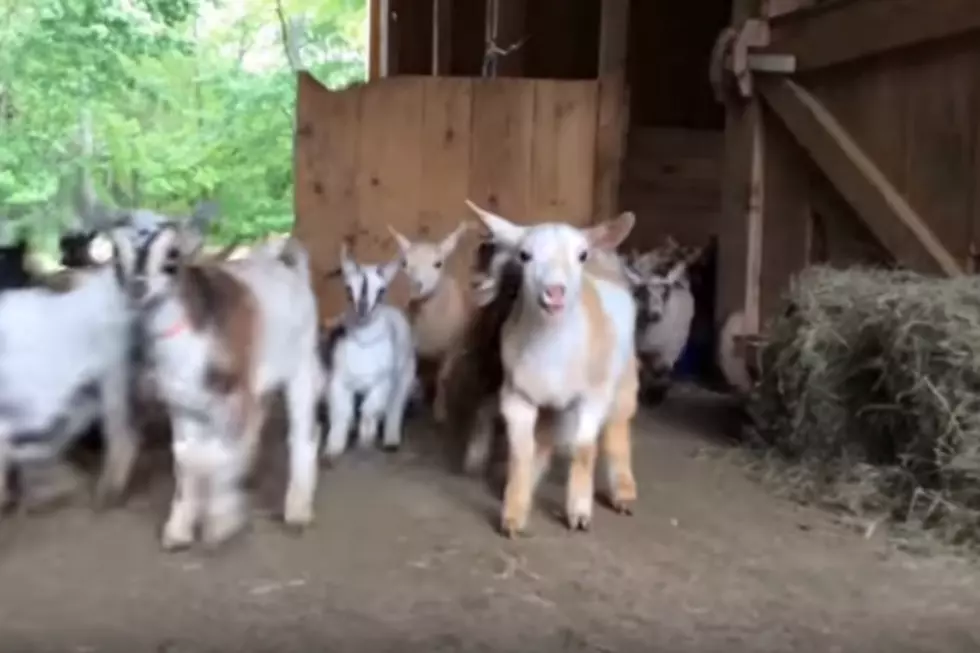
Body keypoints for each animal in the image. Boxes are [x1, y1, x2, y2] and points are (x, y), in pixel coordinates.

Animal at [111, 222, 324, 548]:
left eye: (172, 255)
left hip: (300, 366)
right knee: (256, 421)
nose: (137, 287)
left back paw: (297, 510)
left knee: (304, 433)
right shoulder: (181, 405)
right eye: (117, 255)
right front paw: (179, 528)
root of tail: (288, 268)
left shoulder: (230, 396)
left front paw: (220, 522)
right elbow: (186, 459)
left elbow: (215, 455)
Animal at [320, 242, 416, 460]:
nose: (363, 310)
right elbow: (341, 413)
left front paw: (365, 439)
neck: (363, 343)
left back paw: (390, 440)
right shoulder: (338, 382)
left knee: (394, 407)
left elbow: (370, 410)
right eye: (348, 289)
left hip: (405, 376)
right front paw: (332, 449)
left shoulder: (383, 382)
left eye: (382, 291)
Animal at [386, 222, 470, 420]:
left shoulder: (451, 349)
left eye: (438, 263)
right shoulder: (411, 349)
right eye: (405, 263)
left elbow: (443, 378)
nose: (417, 287)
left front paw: (439, 409)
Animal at [468, 199, 644, 536]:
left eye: (581, 255)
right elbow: (521, 452)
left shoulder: (591, 399)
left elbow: (585, 450)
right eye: (524, 255)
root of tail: (605, 257)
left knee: (618, 427)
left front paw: (579, 512)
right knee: (546, 437)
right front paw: (513, 513)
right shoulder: (517, 397)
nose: (555, 293)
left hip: (623, 377)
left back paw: (624, 491)